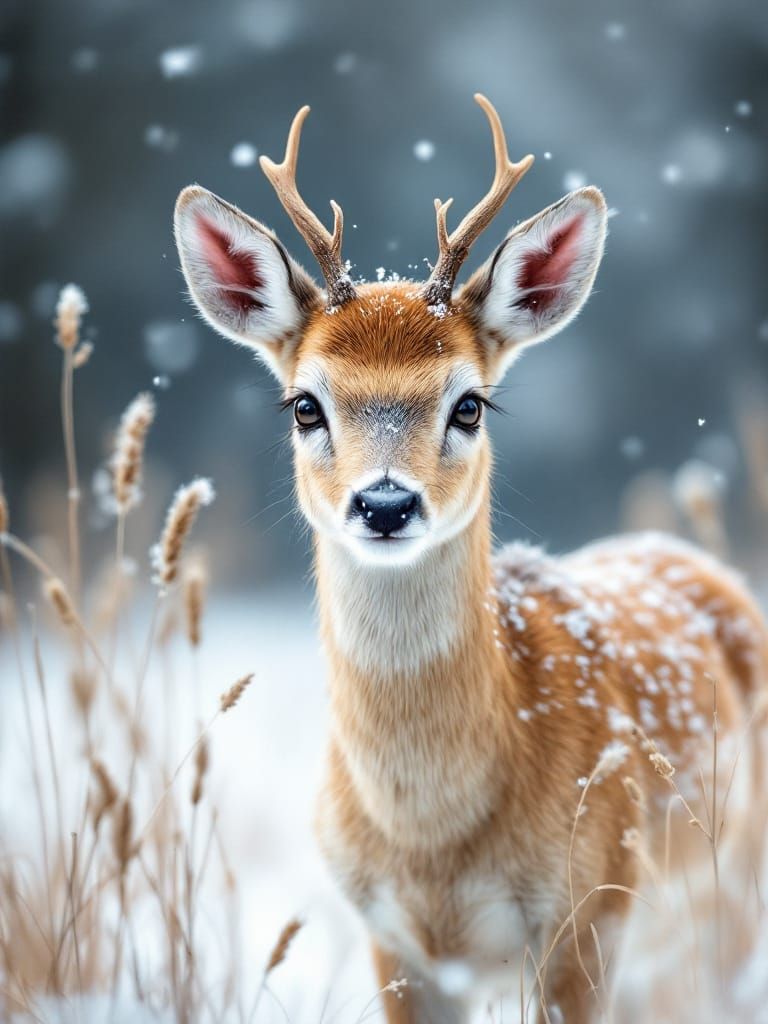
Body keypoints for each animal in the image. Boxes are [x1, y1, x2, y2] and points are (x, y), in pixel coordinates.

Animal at [173, 95, 768, 1023]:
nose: (385, 504)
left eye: (469, 405)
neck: (434, 845)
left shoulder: (590, 910)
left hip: (726, 892)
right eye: (306, 405)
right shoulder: (393, 939)